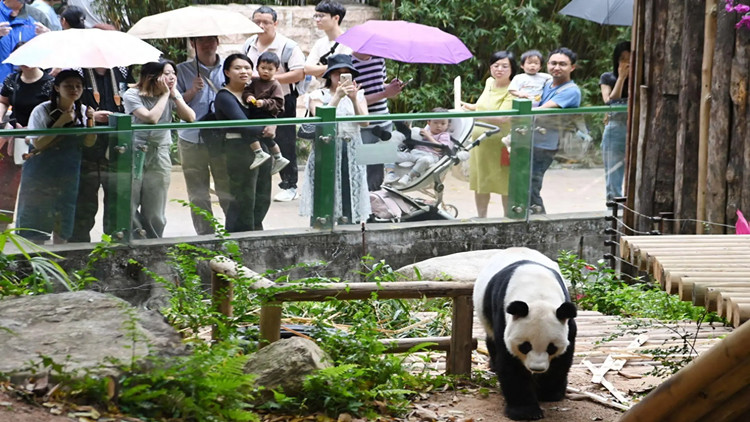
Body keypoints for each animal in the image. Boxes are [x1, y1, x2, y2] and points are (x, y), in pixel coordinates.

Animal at [472, 247, 580, 418]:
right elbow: (510, 361)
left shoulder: (565, 319)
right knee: (492, 339)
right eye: (525, 346)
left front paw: (549, 393)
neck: (538, 293)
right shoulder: (503, 314)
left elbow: (562, 358)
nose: (537, 368)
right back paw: (493, 365)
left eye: (551, 348)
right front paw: (526, 411)